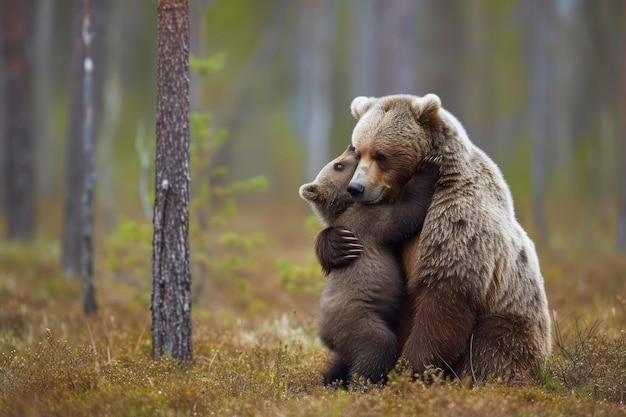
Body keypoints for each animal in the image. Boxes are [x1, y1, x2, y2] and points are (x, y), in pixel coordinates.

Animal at [298, 145, 438, 386]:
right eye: (338, 165)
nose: (351, 147)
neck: (346, 205)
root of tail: (323, 333)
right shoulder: (369, 220)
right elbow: (405, 216)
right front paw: (427, 167)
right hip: (357, 320)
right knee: (377, 347)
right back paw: (367, 383)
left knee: (343, 360)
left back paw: (331, 380)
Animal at [320, 94, 548, 384]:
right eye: (359, 152)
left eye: (381, 156)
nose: (356, 188)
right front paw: (336, 245)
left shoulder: (454, 222)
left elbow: (442, 298)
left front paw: (412, 369)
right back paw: (333, 376)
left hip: (511, 319)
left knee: (492, 348)